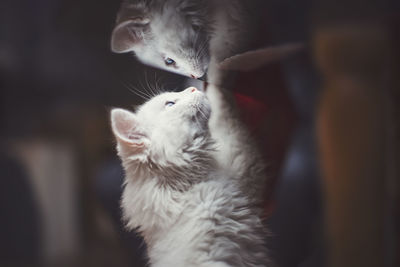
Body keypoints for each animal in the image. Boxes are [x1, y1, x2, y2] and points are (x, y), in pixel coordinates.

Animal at [110, 87, 272, 266]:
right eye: (170, 103)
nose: (192, 88)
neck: (182, 186)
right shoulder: (245, 167)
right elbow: (224, 110)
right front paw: (217, 80)